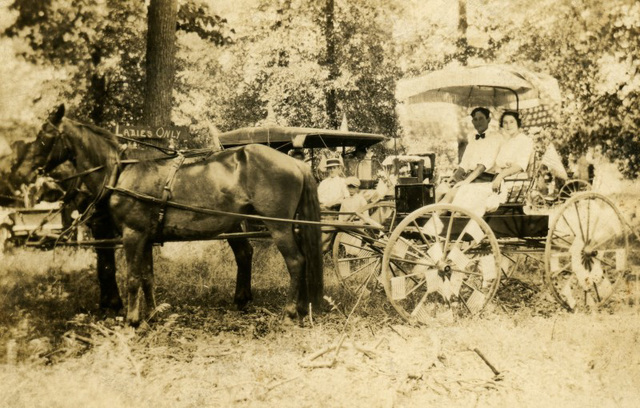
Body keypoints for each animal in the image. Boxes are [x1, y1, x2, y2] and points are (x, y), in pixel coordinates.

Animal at [13, 105, 324, 326]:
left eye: (45, 137)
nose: (22, 173)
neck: (122, 171)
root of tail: (295, 162)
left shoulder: (133, 235)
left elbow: (132, 277)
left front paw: (132, 321)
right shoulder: (146, 237)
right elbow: (147, 277)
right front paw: (152, 316)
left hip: (279, 227)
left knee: (296, 262)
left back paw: (289, 312)